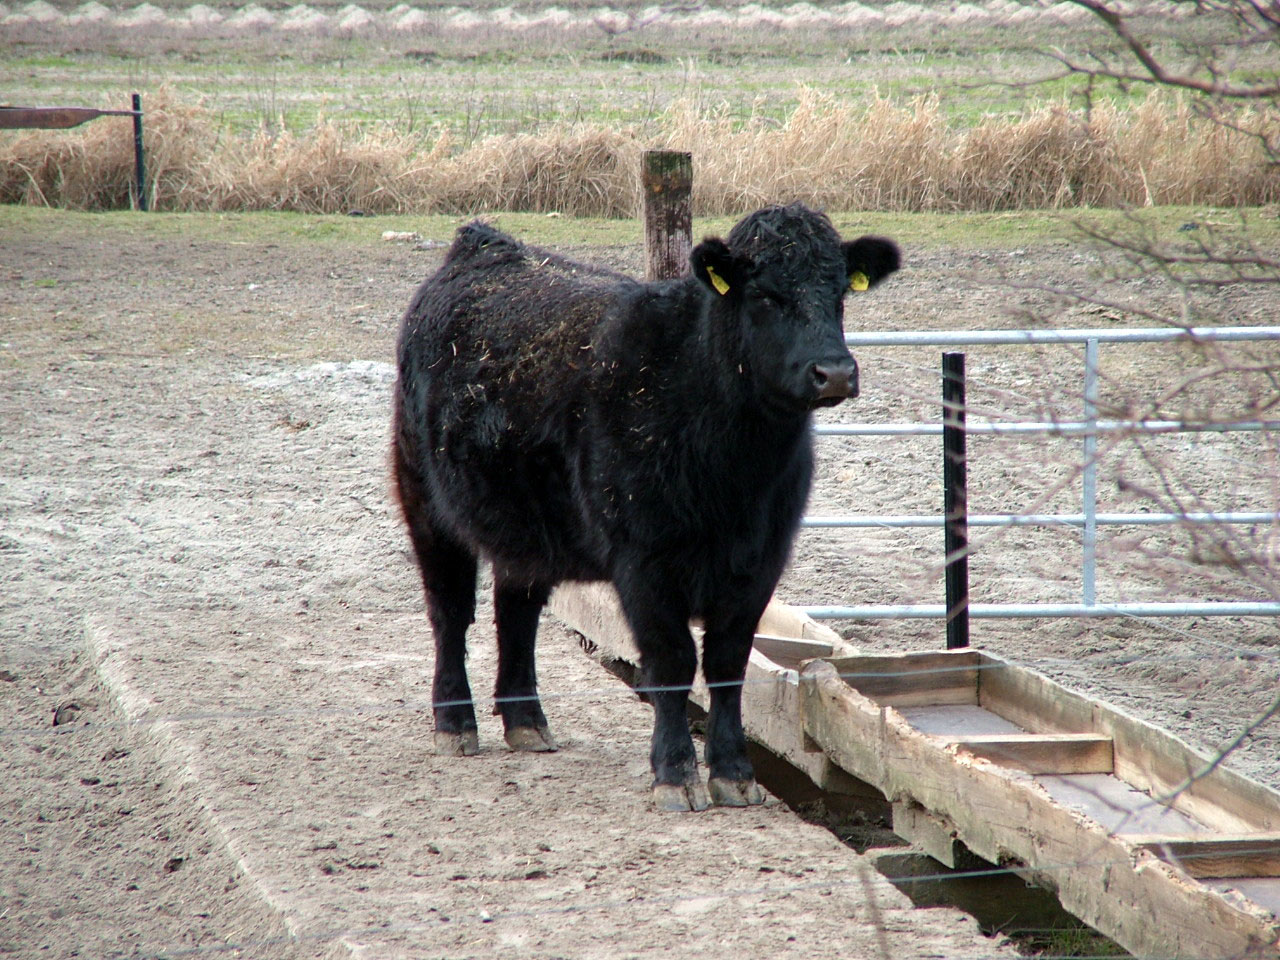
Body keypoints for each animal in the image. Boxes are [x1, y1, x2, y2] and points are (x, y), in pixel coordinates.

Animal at [391, 204, 901, 814]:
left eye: (840, 293)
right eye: (765, 295)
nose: (836, 372)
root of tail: (484, 243)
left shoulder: (760, 562)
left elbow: (728, 663)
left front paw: (734, 773)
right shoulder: (644, 562)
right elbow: (672, 661)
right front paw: (675, 774)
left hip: (528, 526)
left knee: (516, 611)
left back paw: (526, 720)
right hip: (425, 501)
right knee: (449, 610)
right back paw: (455, 723)